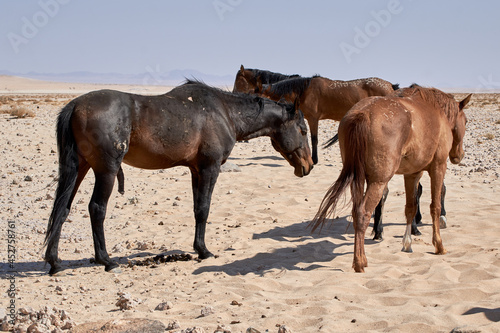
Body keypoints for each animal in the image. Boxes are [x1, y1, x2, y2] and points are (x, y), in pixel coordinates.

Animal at [45, 80, 314, 274]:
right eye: (302, 130)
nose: (308, 165)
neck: (225, 112)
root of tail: (75, 105)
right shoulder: (209, 169)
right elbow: (204, 209)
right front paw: (204, 251)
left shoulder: (196, 170)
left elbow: (197, 209)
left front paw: (198, 247)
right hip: (107, 171)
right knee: (96, 209)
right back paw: (106, 260)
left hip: (80, 168)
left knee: (62, 208)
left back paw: (54, 262)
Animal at [254, 75, 398, 163]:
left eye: (258, 98)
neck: (305, 90)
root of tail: (390, 85)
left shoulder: (313, 119)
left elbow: (314, 139)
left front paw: (314, 159)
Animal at [310, 85, 470, 272]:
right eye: (466, 121)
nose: (459, 156)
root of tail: (362, 114)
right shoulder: (438, 167)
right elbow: (435, 207)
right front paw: (438, 245)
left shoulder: (412, 174)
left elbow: (411, 208)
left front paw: (407, 243)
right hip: (378, 182)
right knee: (363, 214)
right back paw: (359, 262)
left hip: (358, 179)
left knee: (356, 213)